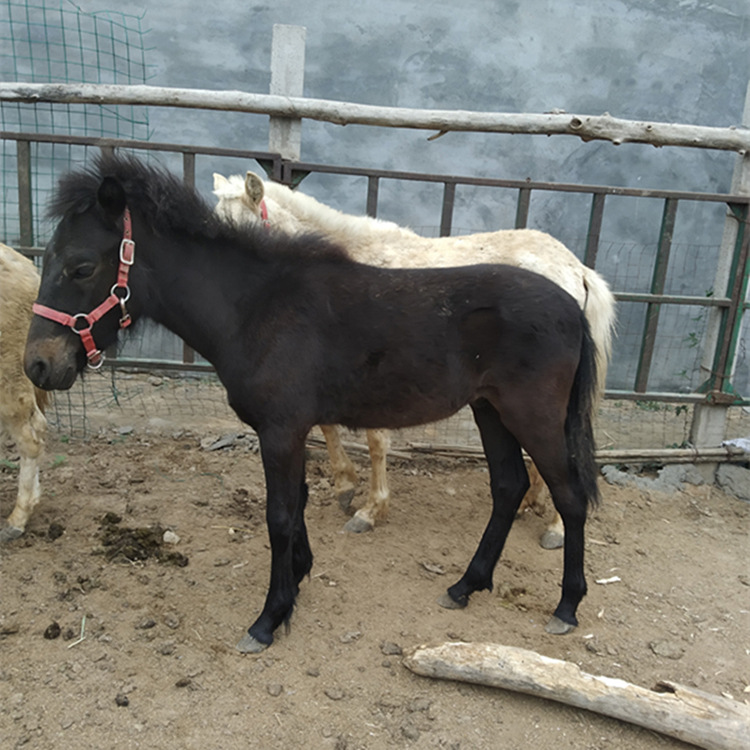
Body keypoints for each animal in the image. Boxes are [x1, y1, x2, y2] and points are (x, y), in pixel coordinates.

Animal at [213, 171, 616, 546]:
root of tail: (577, 269)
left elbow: (374, 442)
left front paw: (369, 510)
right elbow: (327, 425)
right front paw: (346, 487)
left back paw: (557, 528)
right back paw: (530, 502)